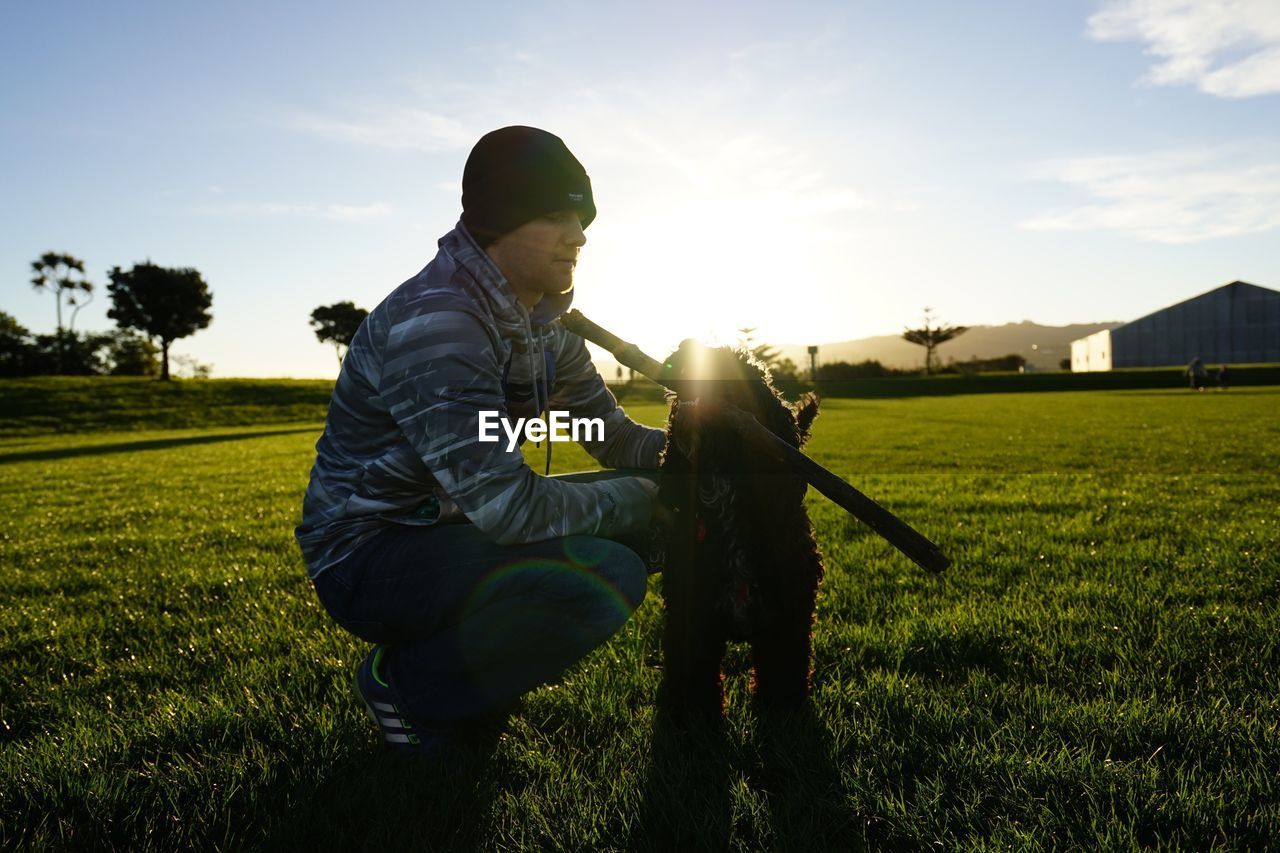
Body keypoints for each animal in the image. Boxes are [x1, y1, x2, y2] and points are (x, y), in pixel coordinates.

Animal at [655, 338, 824, 717]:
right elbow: (692, 670)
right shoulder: (691, 614)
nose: (687, 347)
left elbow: (784, 667)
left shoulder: (787, 617)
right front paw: (690, 714)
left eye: (737, 370)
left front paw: (784, 707)